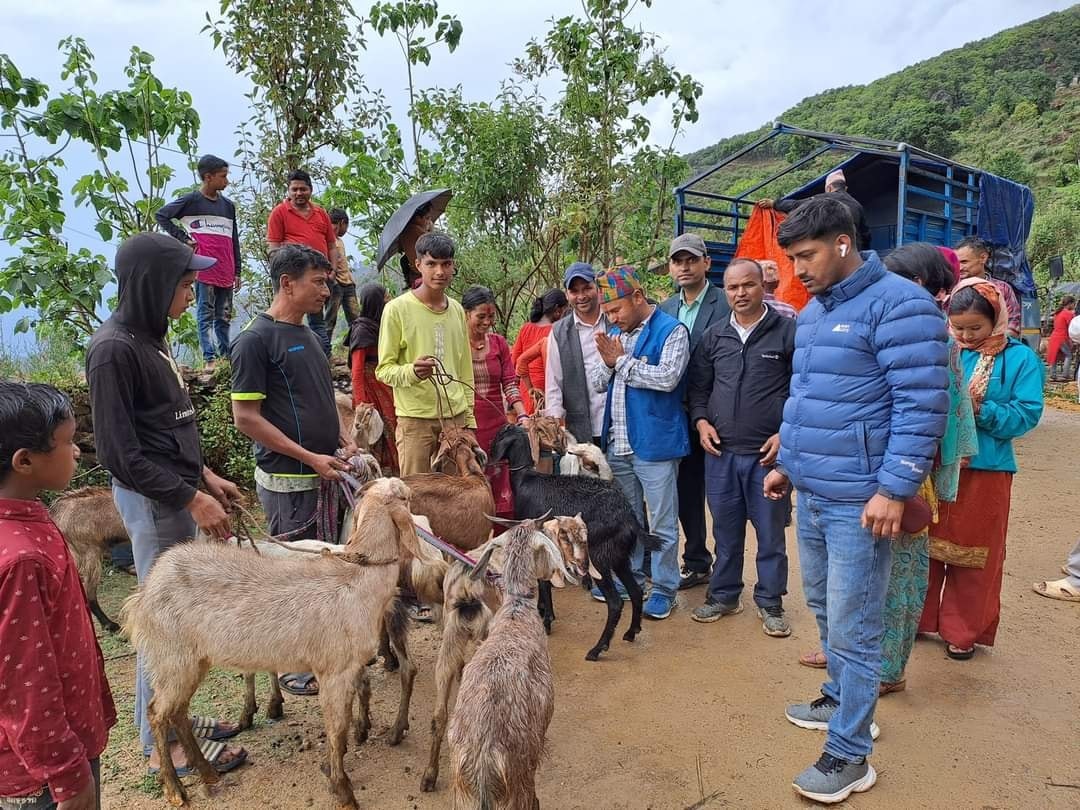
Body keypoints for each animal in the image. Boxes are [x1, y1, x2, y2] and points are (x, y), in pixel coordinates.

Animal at [121, 479, 416, 807]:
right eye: (407, 497)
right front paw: (343, 790)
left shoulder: (349, 668)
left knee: (178, 712)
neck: (359, 580)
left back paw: (208, 773)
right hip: (172, 655)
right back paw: (175, 789)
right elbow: (336, 728)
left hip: (194, 659)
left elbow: (344, 720)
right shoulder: (334, 670)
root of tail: (144, 593)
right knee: (158, 713)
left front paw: (334, 765)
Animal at [490, 425, 656, 660]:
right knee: (635, 591)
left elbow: (544, 582)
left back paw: (597, 649)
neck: (525, 479)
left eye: (499, 435)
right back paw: (631, 632)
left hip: (598, 558)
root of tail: (628, 516)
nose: (487, 451)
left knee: (615, 603)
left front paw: (546, 620)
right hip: (618, 556)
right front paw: (543, 610)